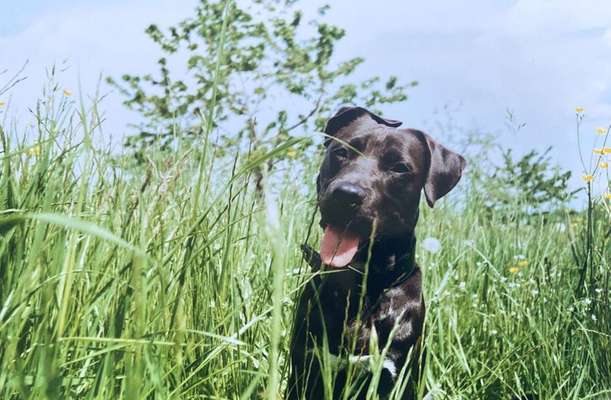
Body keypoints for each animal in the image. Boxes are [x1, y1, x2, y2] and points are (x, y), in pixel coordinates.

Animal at [286, 106, 464, 400]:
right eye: (341, 152)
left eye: (400, 167)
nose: (346, 194)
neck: (362, 285)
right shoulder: (304, 367)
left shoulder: (396, 375)